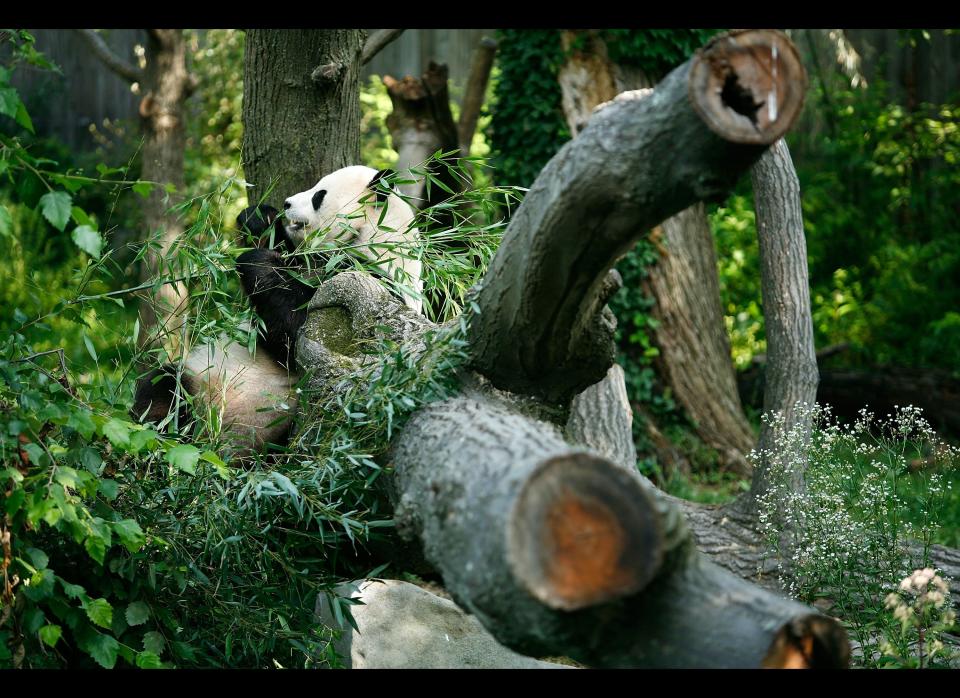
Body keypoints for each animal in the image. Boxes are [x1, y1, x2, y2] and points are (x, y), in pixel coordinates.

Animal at [134, 165, 424, 454]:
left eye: (318, 195)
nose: (287, 203)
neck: (376, 236)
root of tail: (217, 435)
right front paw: (260, 217)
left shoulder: (369, 284)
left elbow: (298, 333)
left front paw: (257, 260)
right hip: (200, 381)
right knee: (164, 387)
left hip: (272, 427)